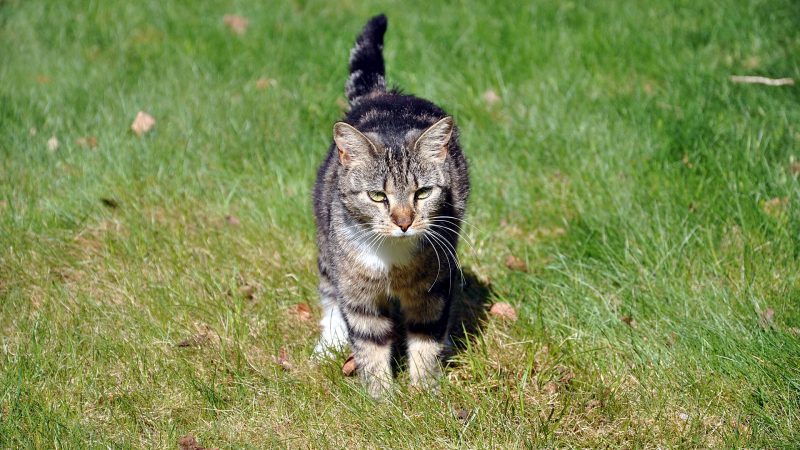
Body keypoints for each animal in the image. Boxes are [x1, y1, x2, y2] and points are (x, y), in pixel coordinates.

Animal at [310, 13, 468, 398]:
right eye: (377, 197)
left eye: (422, 193)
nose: (404, 221)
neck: (392, 257)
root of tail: (384, 94)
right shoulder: (358, 290)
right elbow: (369, 340)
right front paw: (382, 398)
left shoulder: (433, 286)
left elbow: (426, 334)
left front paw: (424, 392)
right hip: (326, 242)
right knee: (329, 292)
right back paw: (329, 342)